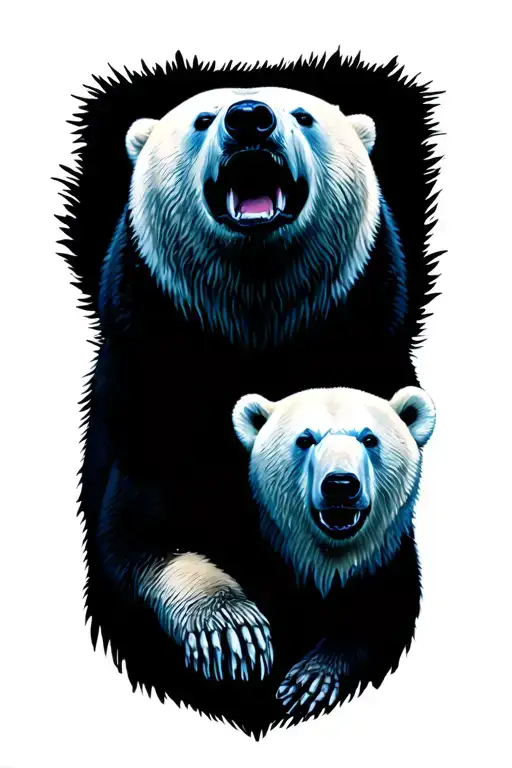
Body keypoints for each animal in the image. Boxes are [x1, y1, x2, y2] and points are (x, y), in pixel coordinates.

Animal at [232, 385, 435, 718]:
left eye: (369, 439)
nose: (340, 485)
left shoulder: (389, 563)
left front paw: (310, 680)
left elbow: (383, 618)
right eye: (305, 439)